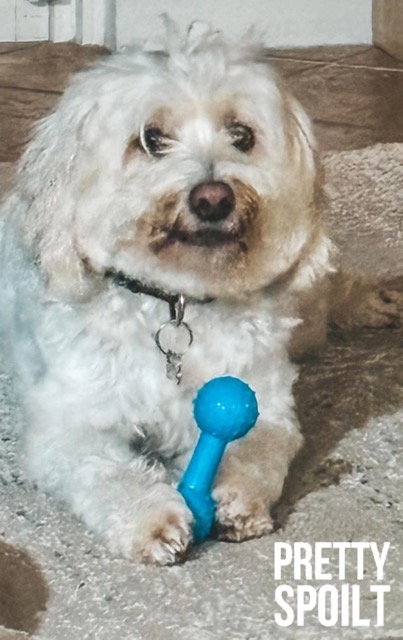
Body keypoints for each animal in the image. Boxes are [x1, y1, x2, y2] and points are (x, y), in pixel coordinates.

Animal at [0, 23, 399, 565]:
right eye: (150, 139)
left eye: (242, 135)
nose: (214, 198)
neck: (175, 302)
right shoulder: (68, 424)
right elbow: (107, 471)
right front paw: (152, 517)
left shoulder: (262, 401)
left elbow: (258, 446)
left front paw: (238, 497)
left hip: (302, 317)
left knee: (322, 296)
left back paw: (370, 300)